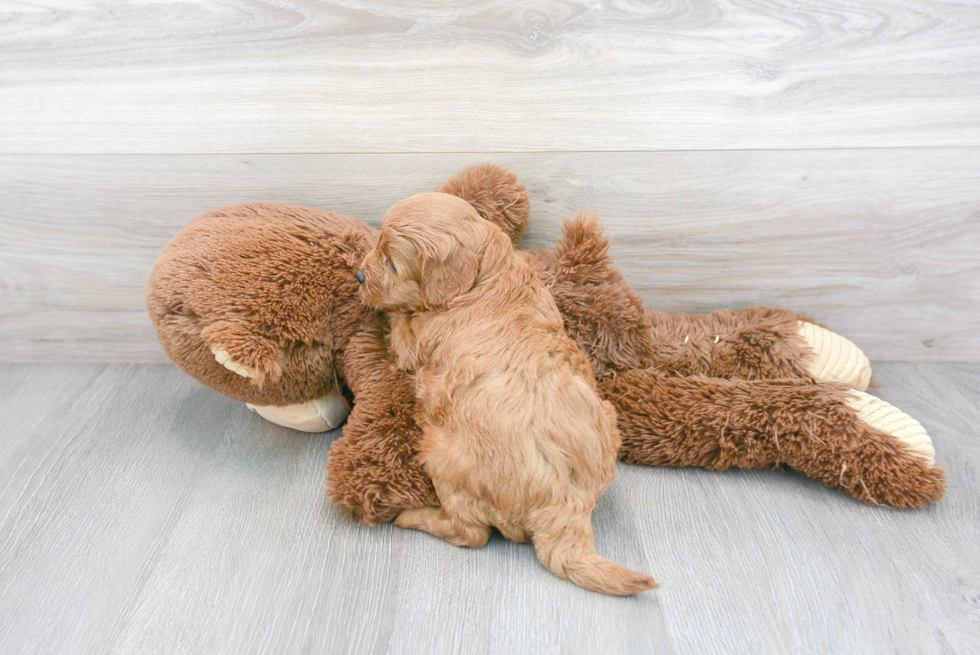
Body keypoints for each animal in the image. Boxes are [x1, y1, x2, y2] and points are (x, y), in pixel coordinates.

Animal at [356, 192, 656, 596]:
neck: (483, 277)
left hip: (443, 458)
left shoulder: (415, 341)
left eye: (391, 263)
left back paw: (412, 515)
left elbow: (400, 322)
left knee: (471, 533)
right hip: (608, 420)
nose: (359, 275)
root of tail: (564, 502)